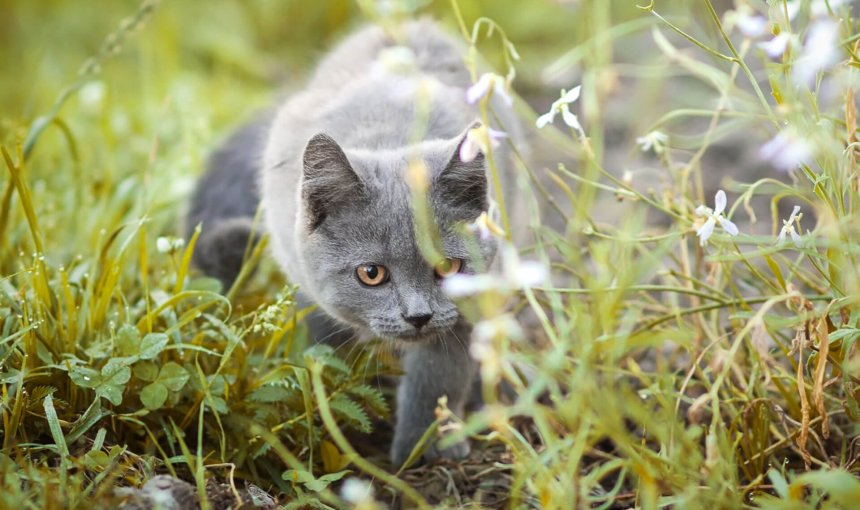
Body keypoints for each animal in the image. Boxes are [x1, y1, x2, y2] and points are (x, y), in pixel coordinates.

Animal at [186, 18, 516, 466]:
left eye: (449, 267)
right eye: (370, 273)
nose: (418, 316)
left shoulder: (466, 305)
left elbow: (438, 378)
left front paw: (423, 450)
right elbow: (327, 343)